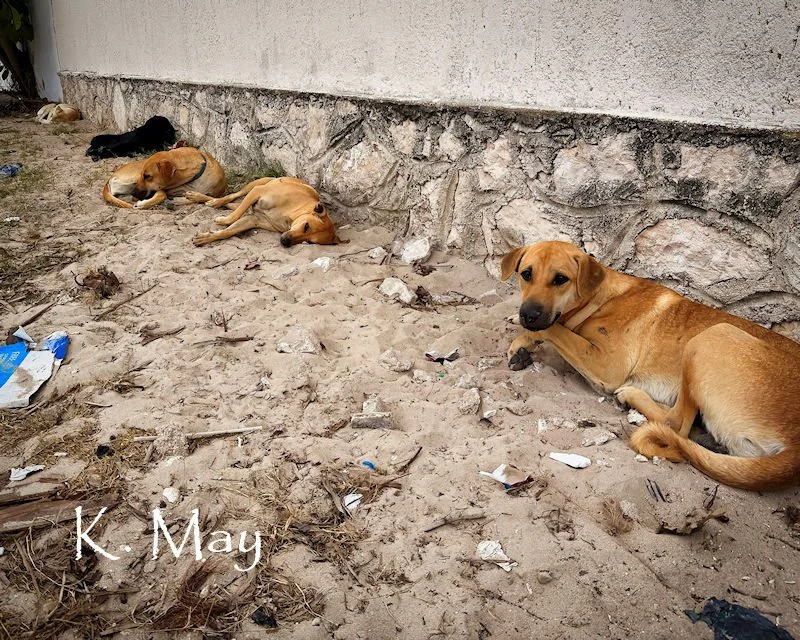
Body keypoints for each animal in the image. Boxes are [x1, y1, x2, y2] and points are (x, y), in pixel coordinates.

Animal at [188, 177, 341, 247]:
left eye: (309, 242)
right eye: (306, 226)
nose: (285, 242)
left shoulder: (253, 220)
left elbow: (228, 231)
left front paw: (207, 238)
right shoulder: (257, 192)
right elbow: (235, 216)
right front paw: (224, 220)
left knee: (233, 204)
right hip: (255, 185)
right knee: (232, 196)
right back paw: (211, 201)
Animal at [501, 240, 800, 491]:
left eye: (560, 279)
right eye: (526, 274)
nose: (528, 314)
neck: (598, 298)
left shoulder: (606, 364)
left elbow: (554, 329)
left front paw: (524, 338)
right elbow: (552, 328)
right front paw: (520, 331)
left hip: (711, 336)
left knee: (676, 423)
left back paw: (632, 396)